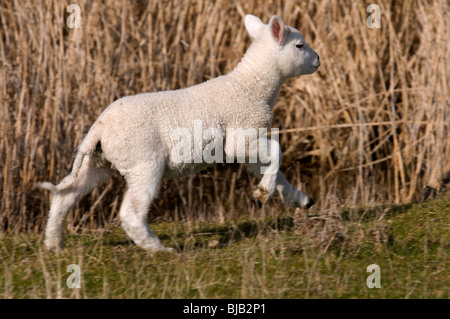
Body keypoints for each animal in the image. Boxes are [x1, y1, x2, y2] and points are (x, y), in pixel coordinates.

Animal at [37, 14, 320, 252]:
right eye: (299, 46)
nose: (318, 60)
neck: (250, 87)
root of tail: (99, 127)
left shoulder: (246, 145)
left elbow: (273, 169)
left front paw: (296, 198)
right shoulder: (241, 137)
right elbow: (277, 151)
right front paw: (264, 193)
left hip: (98, 162)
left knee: (64, 196)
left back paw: (54, 244)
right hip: (143, 162)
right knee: (131, 212)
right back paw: (158, 249)